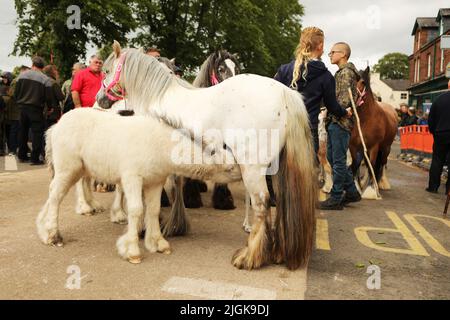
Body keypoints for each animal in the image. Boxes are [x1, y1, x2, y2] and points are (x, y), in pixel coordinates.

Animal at [37, 109, 243, 264]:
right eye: (229, 168)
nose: (243, 174)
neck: (158, 144)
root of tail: (56, 126)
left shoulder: (155, 183)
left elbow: (153, 210)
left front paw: (158, 243)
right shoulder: (132, 179)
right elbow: (136, 210)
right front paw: (132, 250)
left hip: (79, 169)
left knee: (53, 192)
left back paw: (43, 228)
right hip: (67, 170)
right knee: (56, 196)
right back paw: (54, 235)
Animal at [97, 40, 318, 270]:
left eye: (106, 70)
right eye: (220, 69)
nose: (100, 100)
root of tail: (285, 93)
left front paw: (147, 229)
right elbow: (173, 189)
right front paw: (173, 226)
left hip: (253, 170)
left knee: (262, 204)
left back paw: (250, 256)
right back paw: (275, 252)